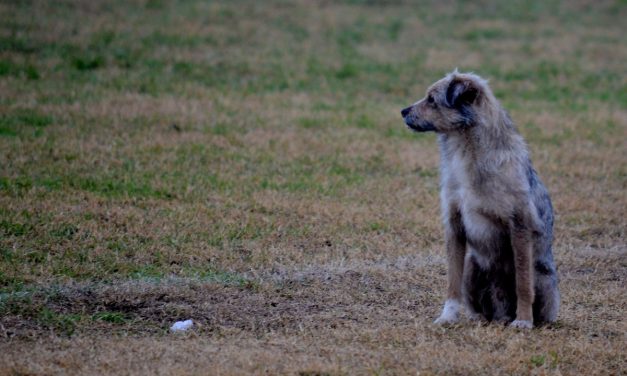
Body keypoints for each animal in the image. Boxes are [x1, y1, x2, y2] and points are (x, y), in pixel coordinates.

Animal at [404, 70, 560, 328]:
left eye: (432, 100)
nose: (403, 111)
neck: (467, 152)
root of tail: (501, 314)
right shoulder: (454, 223)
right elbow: (452, 282)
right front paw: (447, 316)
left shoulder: (519, 225)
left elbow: (523, 283)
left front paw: (523, 321)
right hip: (472, 267)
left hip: (542, 273)